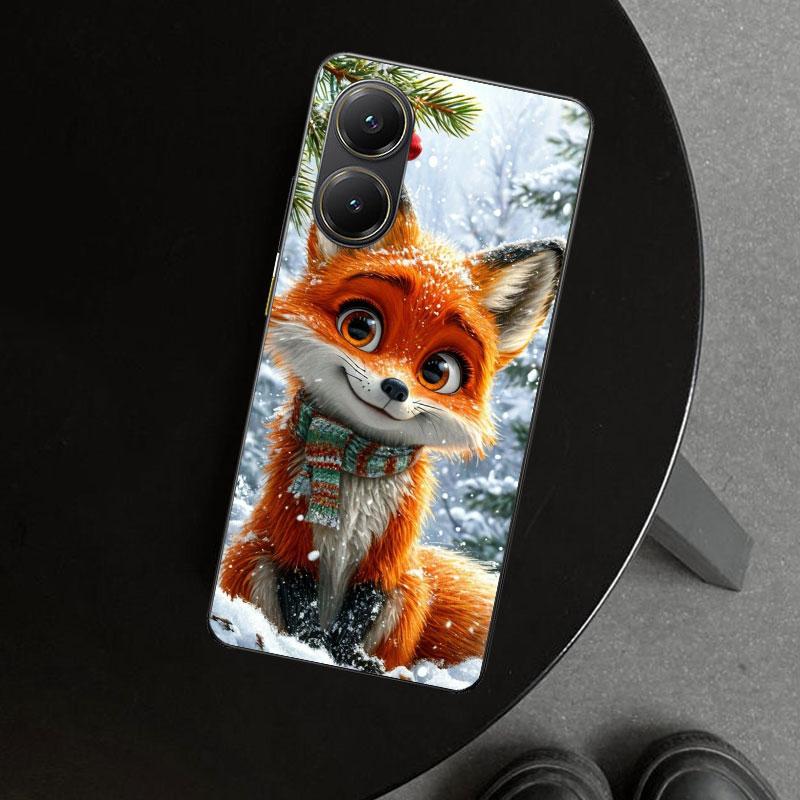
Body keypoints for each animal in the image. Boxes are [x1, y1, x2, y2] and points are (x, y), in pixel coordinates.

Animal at [219, 192, 564, 674]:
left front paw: (346, 659)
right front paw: (309, 648)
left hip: (409, 590)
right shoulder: (291, 536)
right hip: (253, 559)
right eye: (360, 327)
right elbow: (302, 605)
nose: (395, 388)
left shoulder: (386, 557)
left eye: (438, 371)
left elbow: (358, 614)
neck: (356, 463)